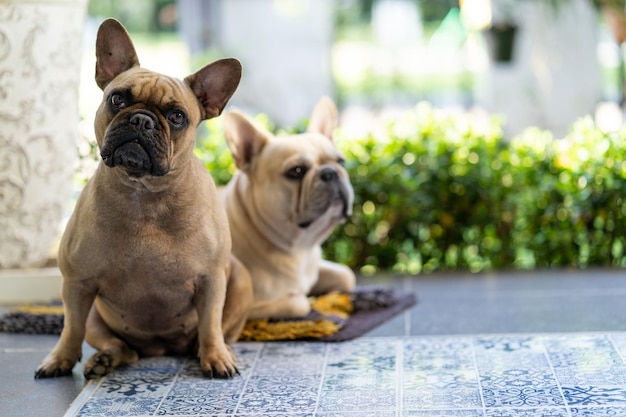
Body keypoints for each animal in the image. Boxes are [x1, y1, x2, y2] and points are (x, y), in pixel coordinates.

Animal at [34, 18, 251, 376]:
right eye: (118, 99)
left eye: (177, 117)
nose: (141, 119)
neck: (144, 194)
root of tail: (159, 349)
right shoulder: (77, 283)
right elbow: (71, 327)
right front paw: (60, 358)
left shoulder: (211, 281)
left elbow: (210, 324)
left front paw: (216, 357)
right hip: (96, 316)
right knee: (120, 346)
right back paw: (105, 358)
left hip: (240, 280)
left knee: (216, 330)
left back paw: (211, 351)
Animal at [218, 97, 356, 318]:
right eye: (296, 171)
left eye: (341, 162)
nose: (331, 172)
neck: (297, 249)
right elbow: (300, 303)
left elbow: (347, 275)